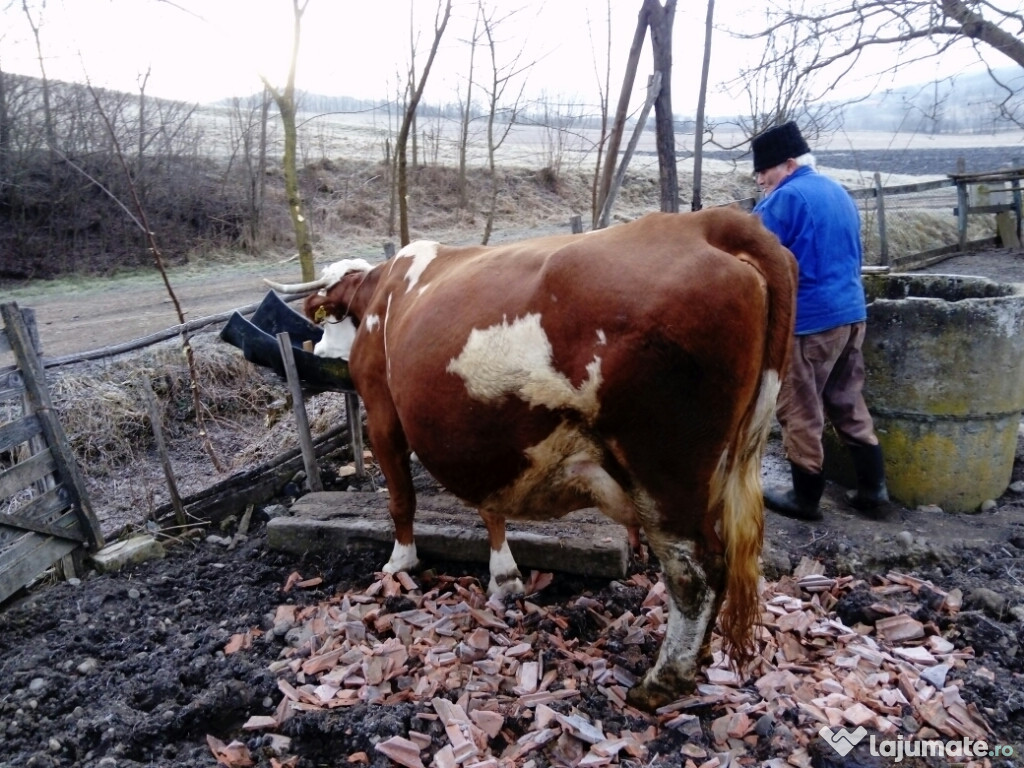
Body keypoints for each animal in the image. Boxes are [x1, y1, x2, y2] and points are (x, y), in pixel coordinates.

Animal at [266, 207, 798, 712]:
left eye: (327, 317)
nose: (318, 348)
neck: (383, 291)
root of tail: (708, 223)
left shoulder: (382, 412)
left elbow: (401, 499)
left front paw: (400, 562)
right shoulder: (484, 444)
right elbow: (491, 508)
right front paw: (504, 577)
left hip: (665, 471)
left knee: (696, 573)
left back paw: (660, 683)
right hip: (717, 470)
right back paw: (700, 656)